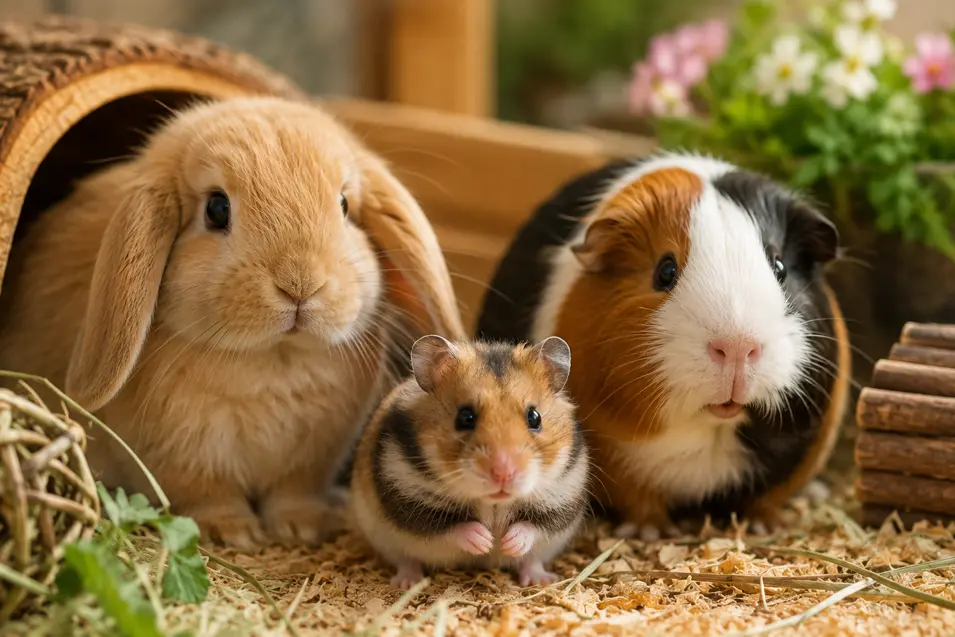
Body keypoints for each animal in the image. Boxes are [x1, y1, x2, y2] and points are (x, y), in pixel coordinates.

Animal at [350, 334, 590, 589]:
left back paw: (540, 580)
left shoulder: (560, 498)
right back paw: (407, 582)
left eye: (534, 418)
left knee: (531, 561)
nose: (503, 474)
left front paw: (507, 543)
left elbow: (532, 526)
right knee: (406, 560)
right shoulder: (409, 497)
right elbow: (454, 526)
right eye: (465, 417)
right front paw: (486, 541)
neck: (493, 502)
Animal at [476, 153, 852, 539]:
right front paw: (652, 533)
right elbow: (639, 499)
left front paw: (766, 527)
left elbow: (767, 497)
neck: (712, 430)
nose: (737, 347)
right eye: (665, 271)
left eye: (779, 268)